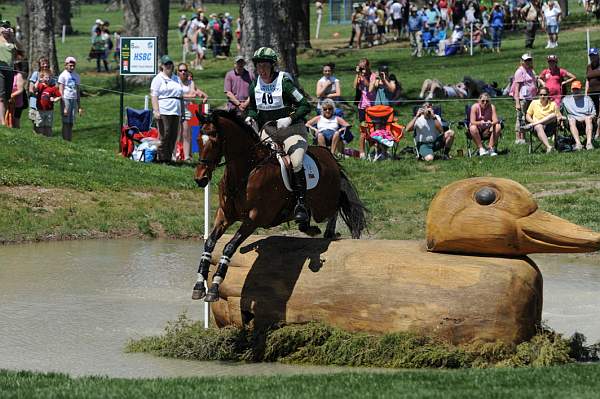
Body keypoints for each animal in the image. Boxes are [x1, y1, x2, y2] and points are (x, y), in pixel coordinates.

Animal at [195, 109, 368, 304]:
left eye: (214, 140)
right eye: (198, 140)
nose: (200, 179)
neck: (247, 172)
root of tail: (329, 156)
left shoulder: (254, 219)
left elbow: (229, 247)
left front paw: (214, 287)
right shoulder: (224, 215)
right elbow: (209, 243)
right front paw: (199, 284)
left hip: (324, 203)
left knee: (337, 207)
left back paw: (328, 232)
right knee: (312, 216)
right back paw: (309, 226)